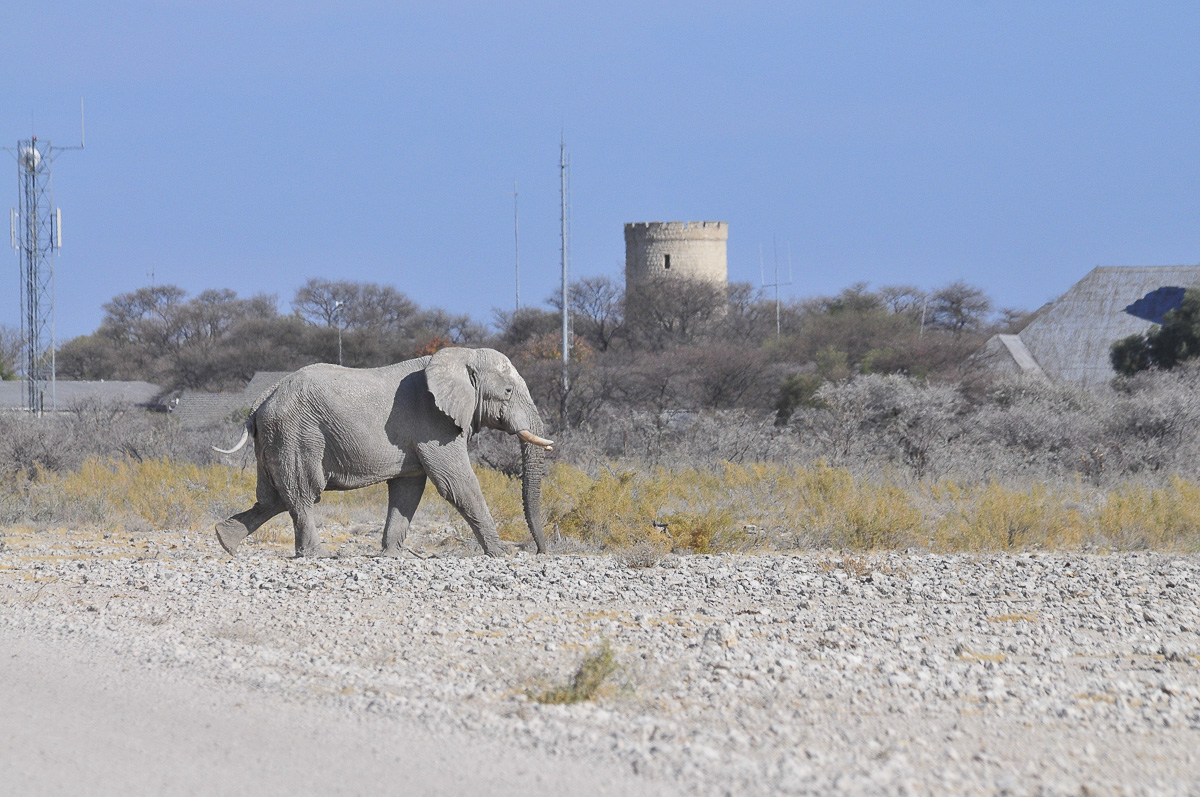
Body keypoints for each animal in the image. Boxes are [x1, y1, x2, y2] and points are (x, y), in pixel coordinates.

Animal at [212, 347, 555, 558]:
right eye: (507, 392)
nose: (541, 551)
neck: (460, 355)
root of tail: (263, 397)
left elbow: (408, 489)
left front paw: (390, 555)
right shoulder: (433, 423)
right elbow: (456, 483)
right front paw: (501, 554)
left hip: (276, 436)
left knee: (274, 498)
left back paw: (224, 542)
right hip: (295, 433)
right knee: (303, 493)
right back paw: (318, 555)